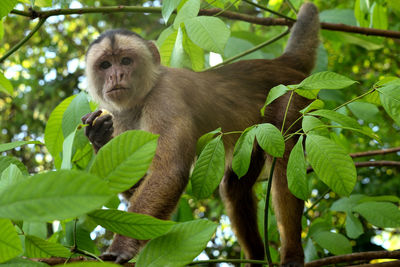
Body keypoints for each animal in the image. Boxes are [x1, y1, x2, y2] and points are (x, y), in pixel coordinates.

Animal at [81, 2, 318, 267]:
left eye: (125, 60)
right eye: (105, 65)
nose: (116, 76)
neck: (143, 96)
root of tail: (282, 62)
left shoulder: (165, 97)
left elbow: (170, 172)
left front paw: (121, 246)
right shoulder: (120, 119)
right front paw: (99, 136)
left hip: (294, 94)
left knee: (285, 164)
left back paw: (292, 255)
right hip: (254, 134)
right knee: (234, 188)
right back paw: (256, 256)